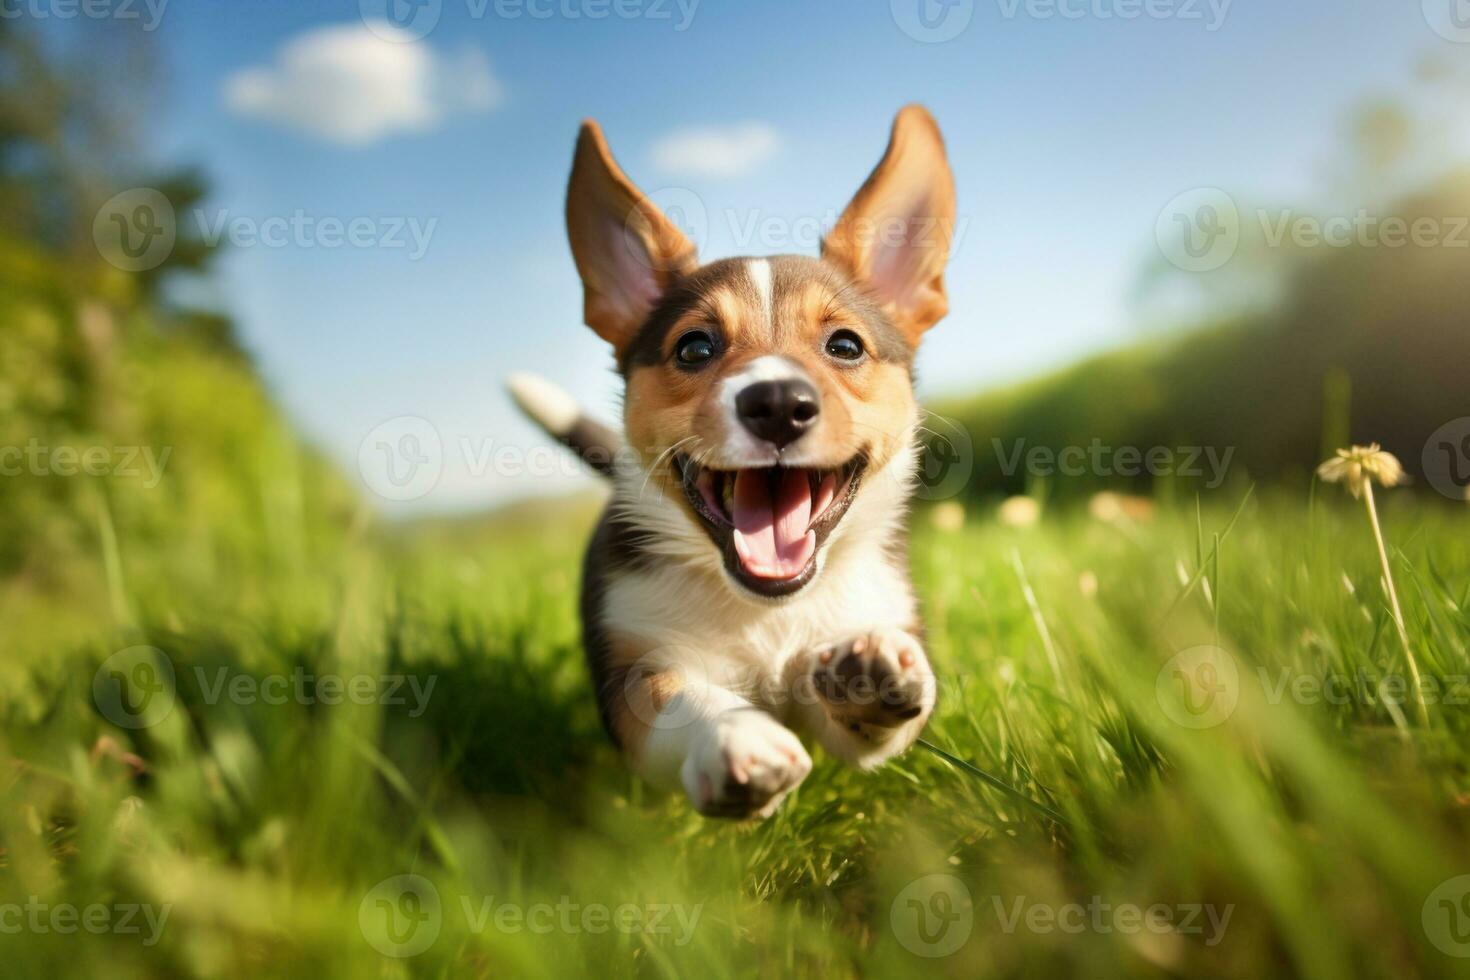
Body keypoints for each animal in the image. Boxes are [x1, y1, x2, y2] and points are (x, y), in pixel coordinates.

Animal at [511, 105, 958, 822]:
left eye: (845, 345)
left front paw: (872, 676)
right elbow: (678, 696)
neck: (764, 610)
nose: (777, 403)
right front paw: (735, 737)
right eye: (695, 347)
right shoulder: (634, 675)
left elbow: (878, 727)